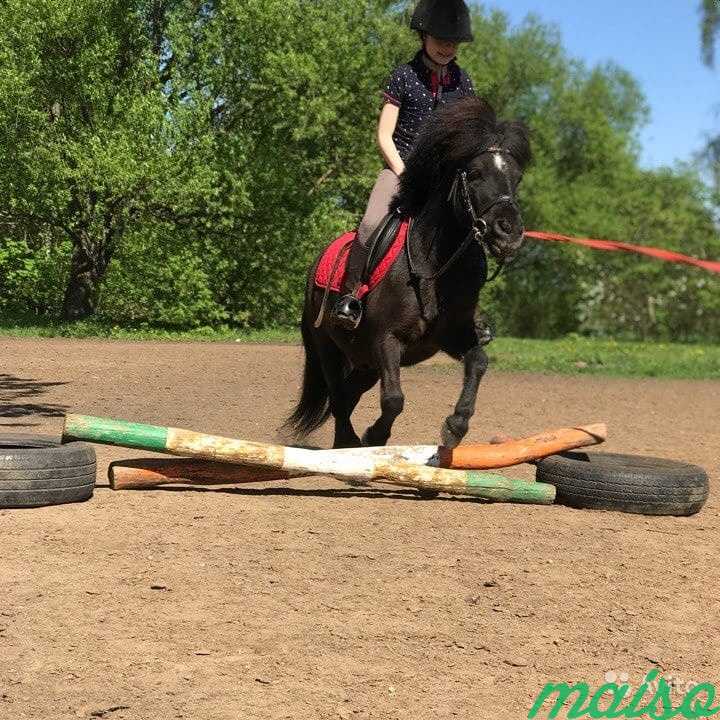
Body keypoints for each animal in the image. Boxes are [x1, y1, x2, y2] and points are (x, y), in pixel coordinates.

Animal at [286, 98, 528, 448]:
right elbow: (394, 400)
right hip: (327, 346)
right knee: (338, 397)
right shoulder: (386, 340)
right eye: (475, 173)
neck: (436, 268)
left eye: (517, 178)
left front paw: (455, 427)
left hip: (365, 363)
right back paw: (348, 442)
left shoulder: (451, 337)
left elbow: (478, 362)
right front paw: (375, 436)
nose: (509, 232)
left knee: (348, 393)